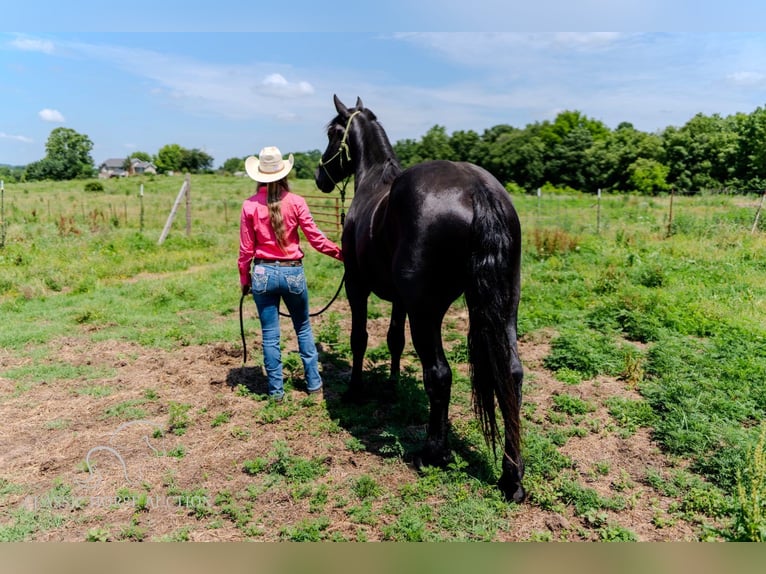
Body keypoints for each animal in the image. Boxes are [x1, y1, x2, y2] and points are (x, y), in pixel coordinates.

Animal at [316, 95, 524, 504]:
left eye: (333, 132)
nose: (320, 176)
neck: (373, 180)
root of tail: (478, 190)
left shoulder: (357, 286)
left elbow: (360, 338)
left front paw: (355, 390)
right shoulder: (400, 300)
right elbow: (393, 340)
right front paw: (393, 386)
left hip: (428, 313)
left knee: (439, 374)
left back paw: (433, 452)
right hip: (505, 310)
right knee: (512, 375)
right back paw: (512, 478)